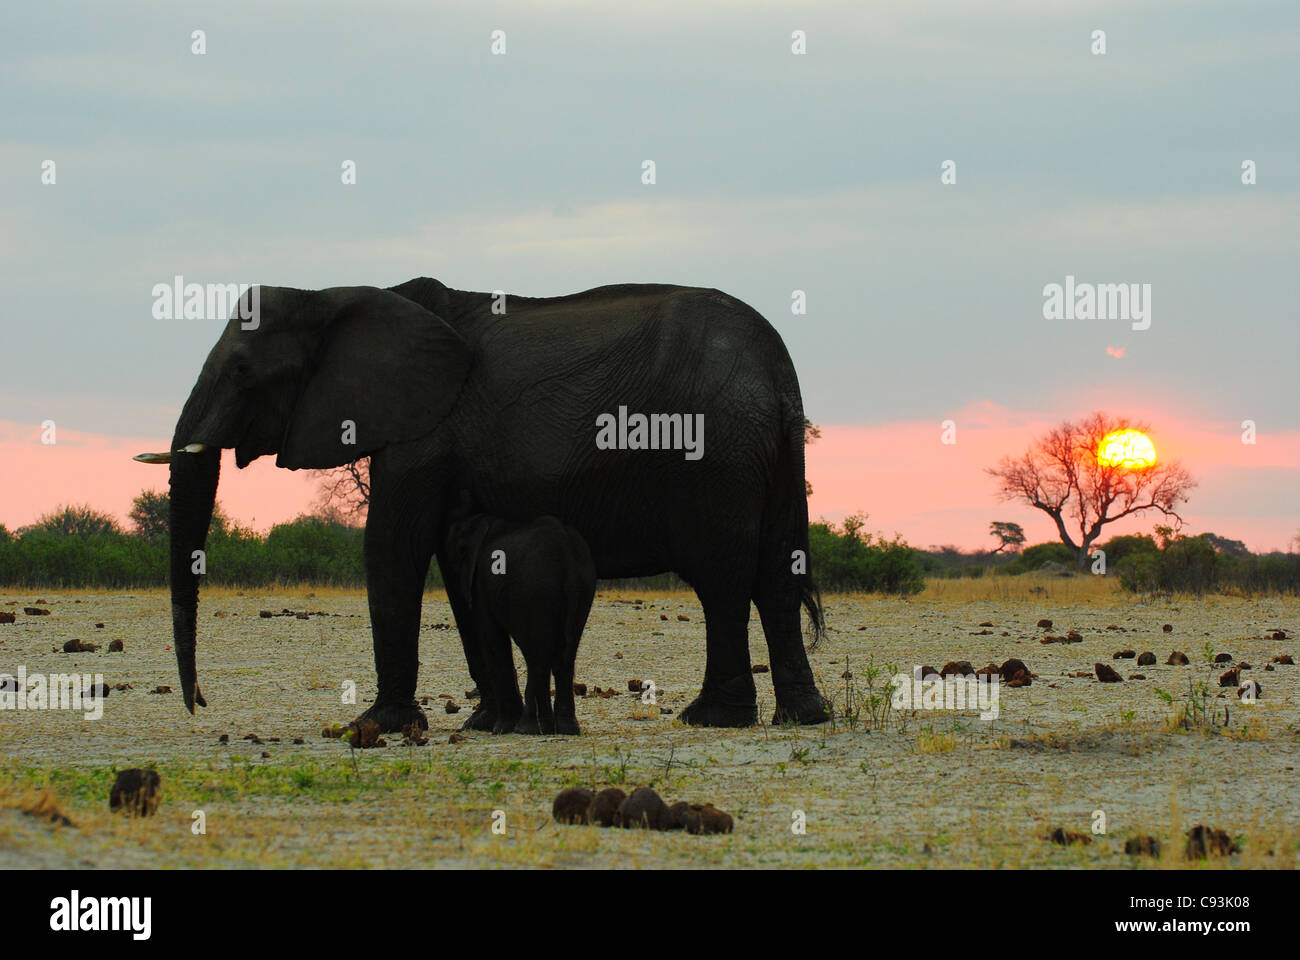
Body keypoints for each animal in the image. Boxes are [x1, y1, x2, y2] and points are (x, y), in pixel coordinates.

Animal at [441, 515, 595, 733]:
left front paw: (501, 729)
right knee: (564, 656)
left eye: (457, 554)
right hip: (582, 590)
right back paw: (566, 729)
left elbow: (492, 639)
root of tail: (568, 561)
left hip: (534, 592)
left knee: (536, 657)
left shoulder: (481, 584)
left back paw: (527, 728)